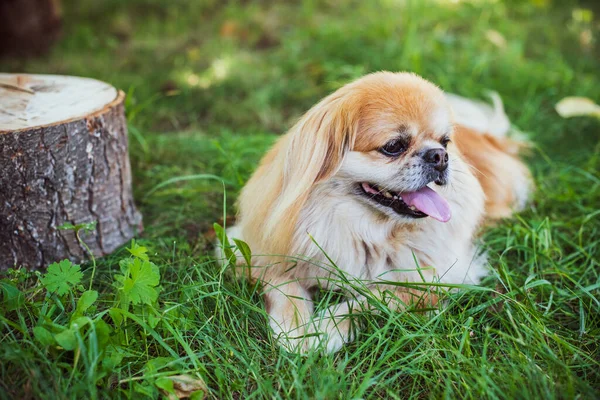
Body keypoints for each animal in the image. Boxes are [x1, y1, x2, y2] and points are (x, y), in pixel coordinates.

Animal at [219, 72, 528, 354]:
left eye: (445, 142)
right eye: (394, 146)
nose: (440, 156)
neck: (363, 229)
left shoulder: (436, 281)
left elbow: (371, 300)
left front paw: (324, 330)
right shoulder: (258, 251)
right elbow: (284, 288)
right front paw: (295, 328)